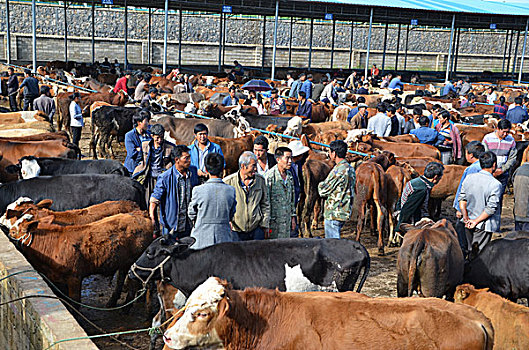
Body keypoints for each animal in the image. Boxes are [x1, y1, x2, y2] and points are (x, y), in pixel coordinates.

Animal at [8, 209, 153, 304]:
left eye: (14, 231)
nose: (8, 233)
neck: (54, 244)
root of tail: (142, 215)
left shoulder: (74, 278)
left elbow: (75, 302)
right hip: (124, 264)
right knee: (121, 279)